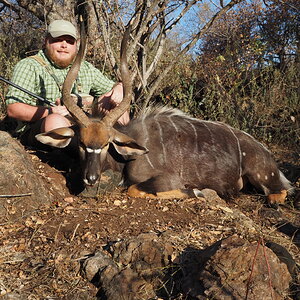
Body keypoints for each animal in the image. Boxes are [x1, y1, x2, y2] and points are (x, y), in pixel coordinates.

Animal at [34, 19, 290, 204]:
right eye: (81, 142)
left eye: (107, 144)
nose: (91, 178)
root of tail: (265, 152)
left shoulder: (167, 179)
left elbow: (134, 189)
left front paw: (195, 192)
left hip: (264, 178)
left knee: (280, 193)